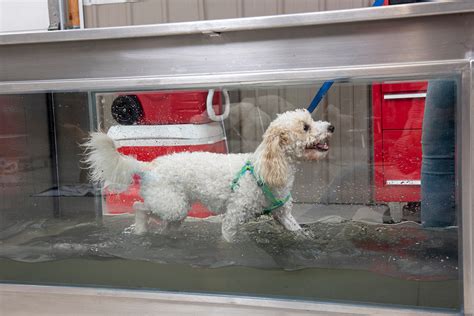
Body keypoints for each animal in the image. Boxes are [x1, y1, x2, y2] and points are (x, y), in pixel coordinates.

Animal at [84, 108, 334, 242]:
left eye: (311, 121)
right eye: (305, 127)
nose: (331, 127)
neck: (265, 168)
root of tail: (149, 166)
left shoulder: (283, 215)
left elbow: (297, 231)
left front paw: (308, 240)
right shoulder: (233, 217)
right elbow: (228, 240)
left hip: (175, 211)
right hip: (172, 205)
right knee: (139, 207)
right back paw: (140, 229)